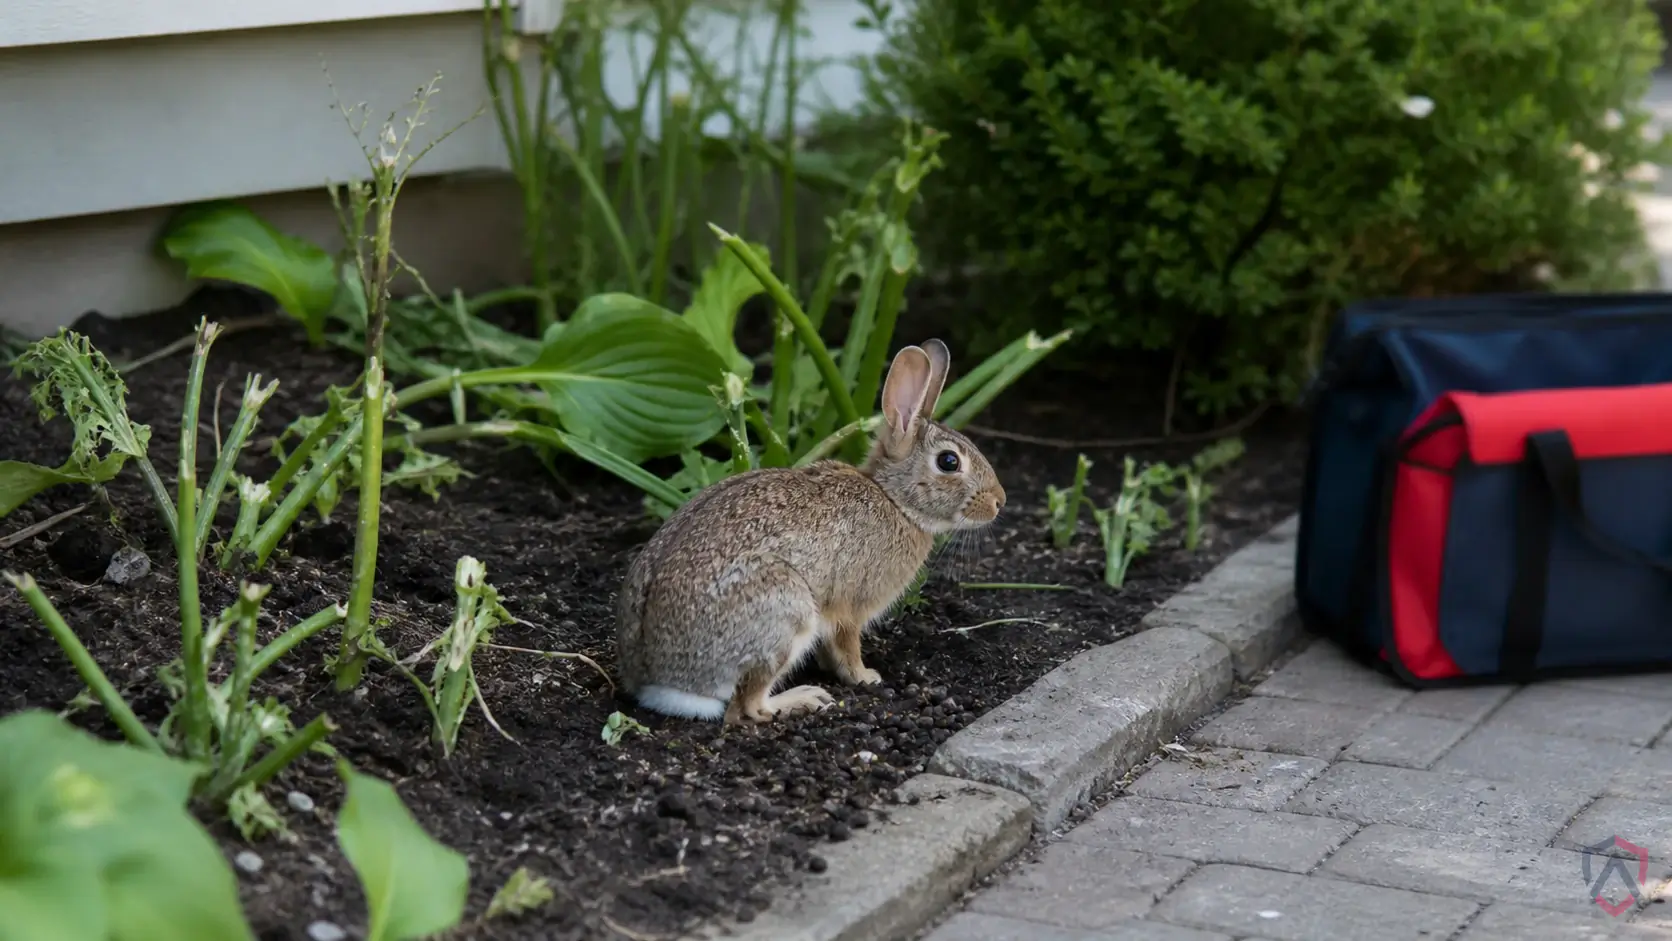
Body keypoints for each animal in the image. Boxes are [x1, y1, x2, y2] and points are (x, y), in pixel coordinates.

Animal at [614, 338, 1006, 724]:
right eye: (949, 462)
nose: (999, 501)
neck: (894, 500)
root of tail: (661, 681)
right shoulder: (851, 605)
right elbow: (847, 645)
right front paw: (865, 677)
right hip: (787, 612)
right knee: (747, 708)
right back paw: (805, 699)